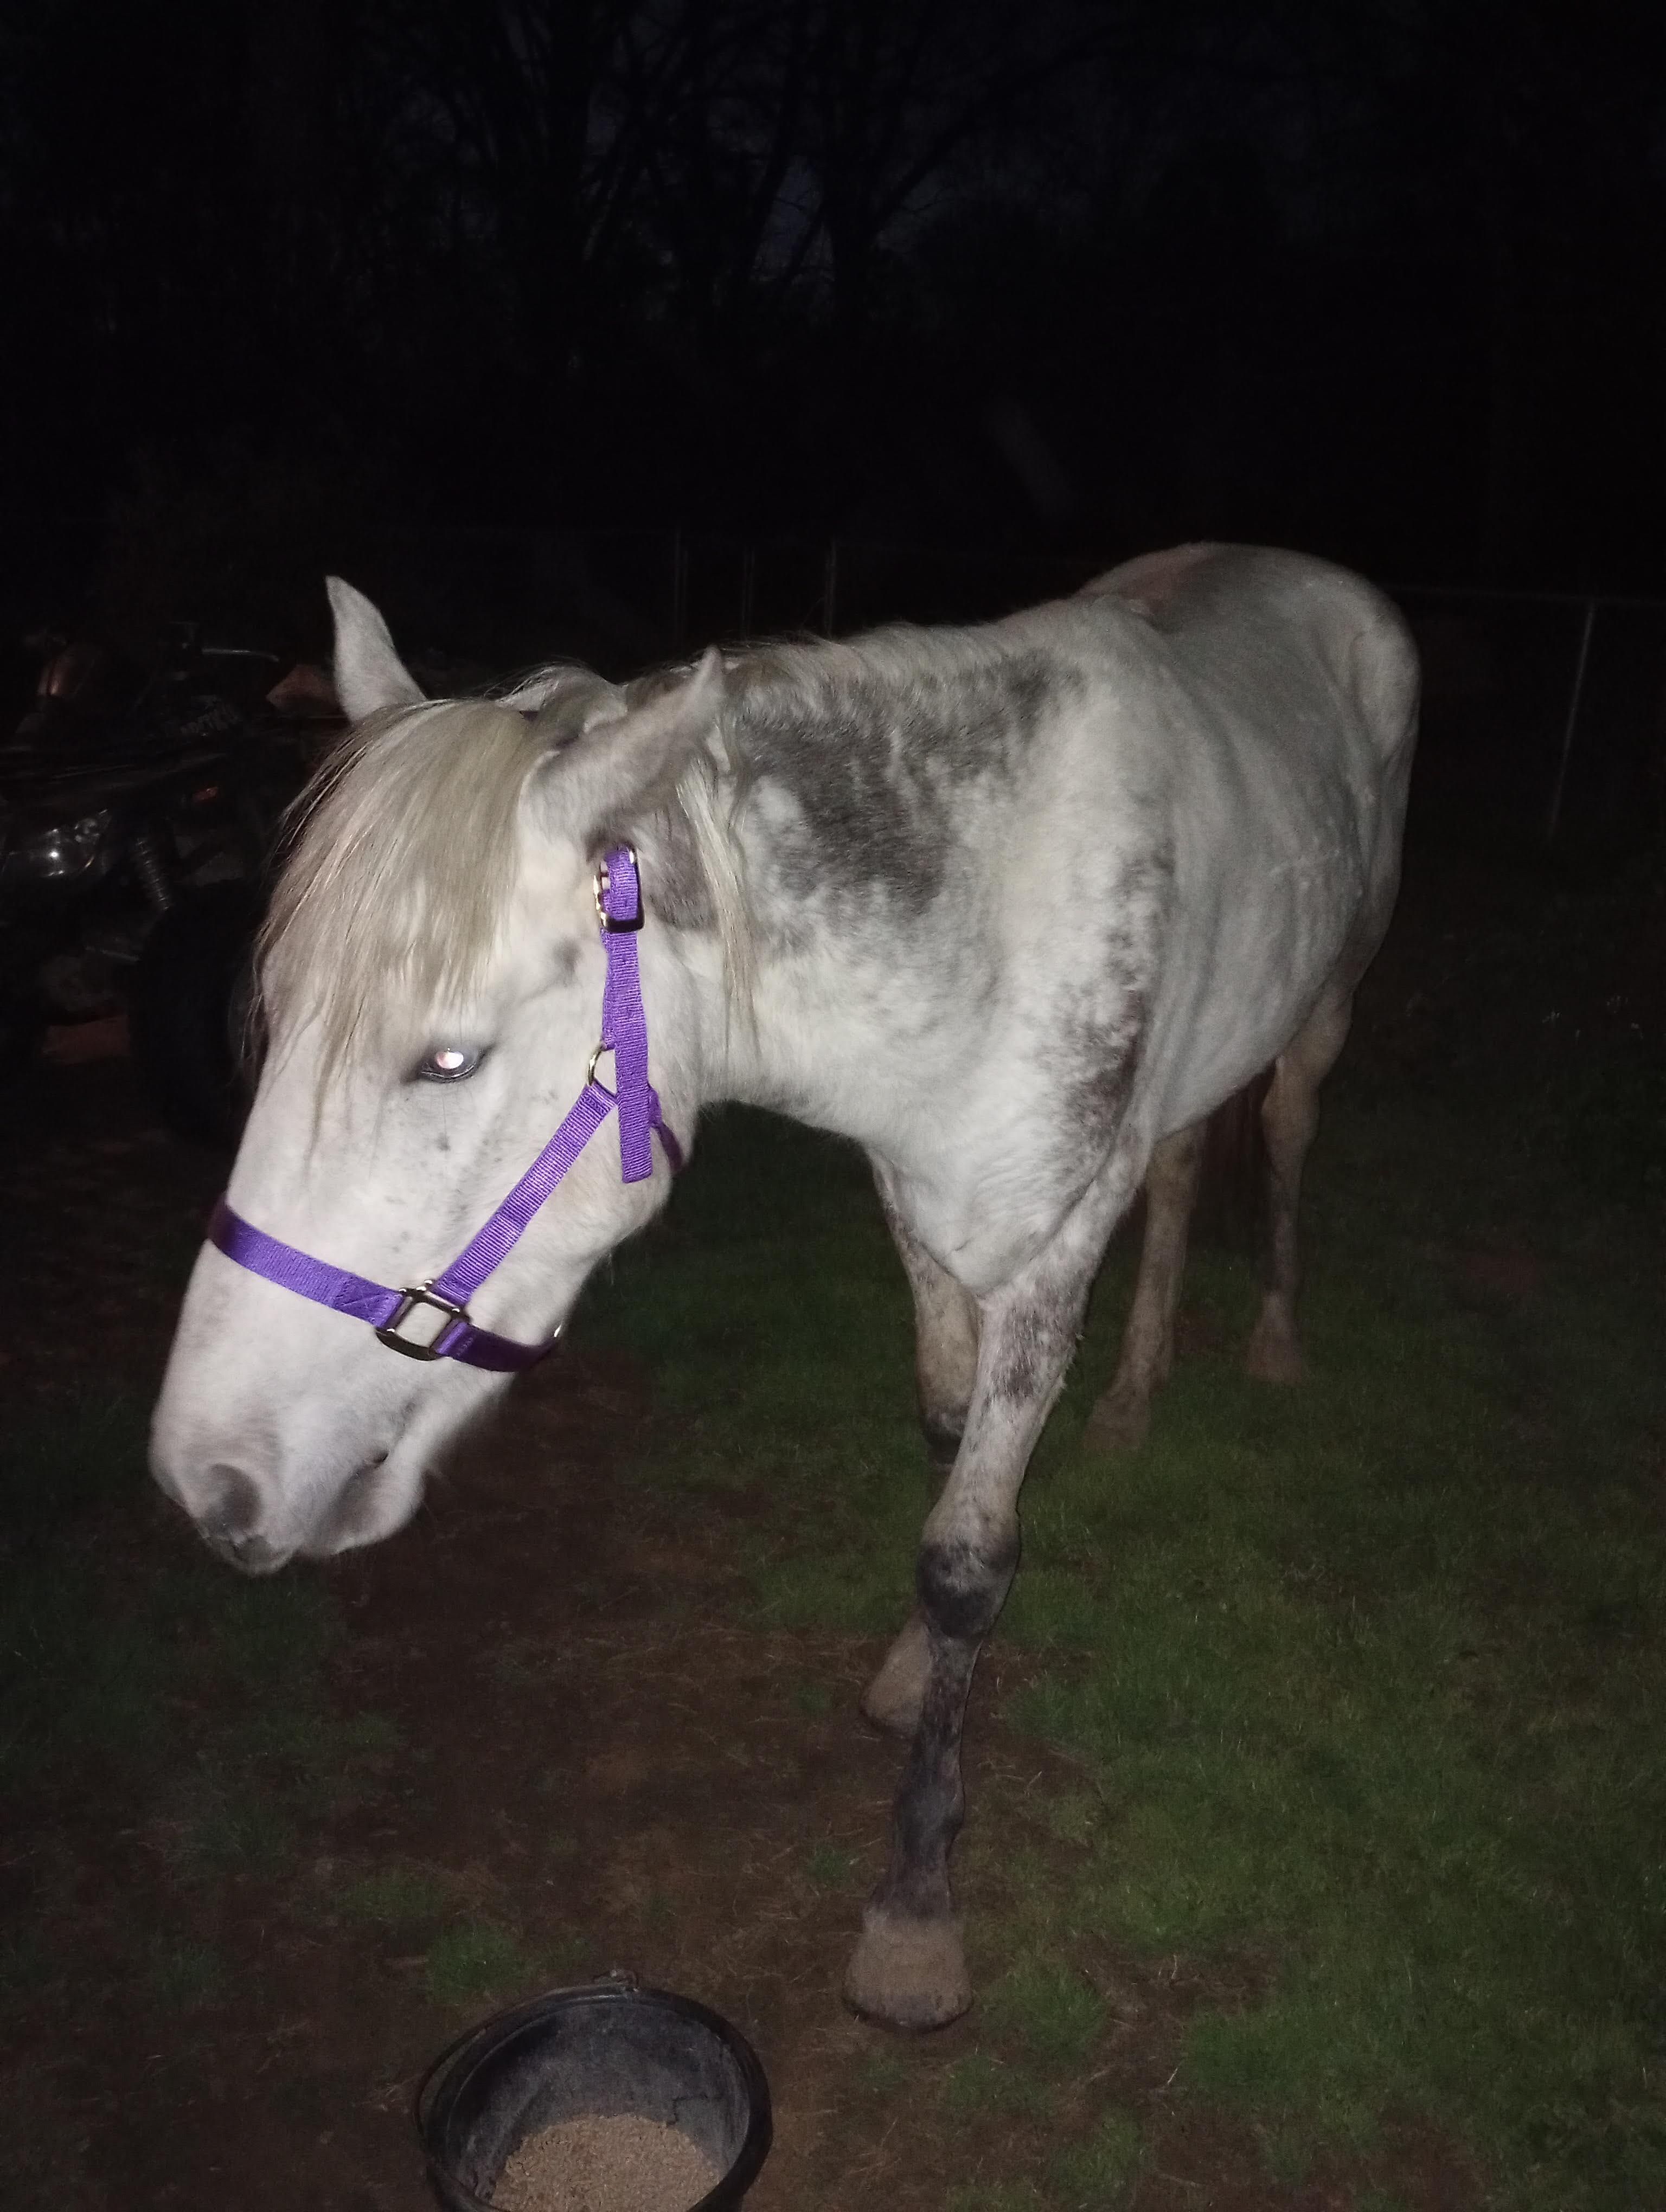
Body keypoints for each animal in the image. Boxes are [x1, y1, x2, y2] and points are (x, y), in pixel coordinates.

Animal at [151, 544, 1418, 2031]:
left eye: (448, 1059)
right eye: (278, 1017)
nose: (206, 1476)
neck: (987, 927)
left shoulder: (1046, 1259)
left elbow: (968, 1556)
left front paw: (915, 1908)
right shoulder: (914, 1208)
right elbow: (944, 1445)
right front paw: (914, 1670)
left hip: (1327, 1002)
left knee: (1283, 1134)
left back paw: (1270, 1334)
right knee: (1177, 1172)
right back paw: (1136, 1393)